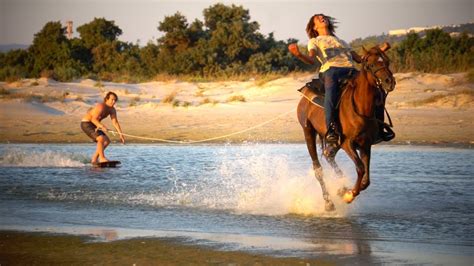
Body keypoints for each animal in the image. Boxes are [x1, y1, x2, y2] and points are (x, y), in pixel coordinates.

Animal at [298, 42, 394, 211]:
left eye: (387, 61)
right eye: (371, 64)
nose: (390, 82)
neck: (361, 107)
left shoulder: (365, 144)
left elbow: (366, 179)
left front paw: (345, 191)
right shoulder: (347, 143)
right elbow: (360, 168)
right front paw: (349, 195)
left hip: (333, 140)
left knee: (329, 156)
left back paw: (341, 187)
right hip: (308, 131)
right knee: (318, 169)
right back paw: (329, 202)